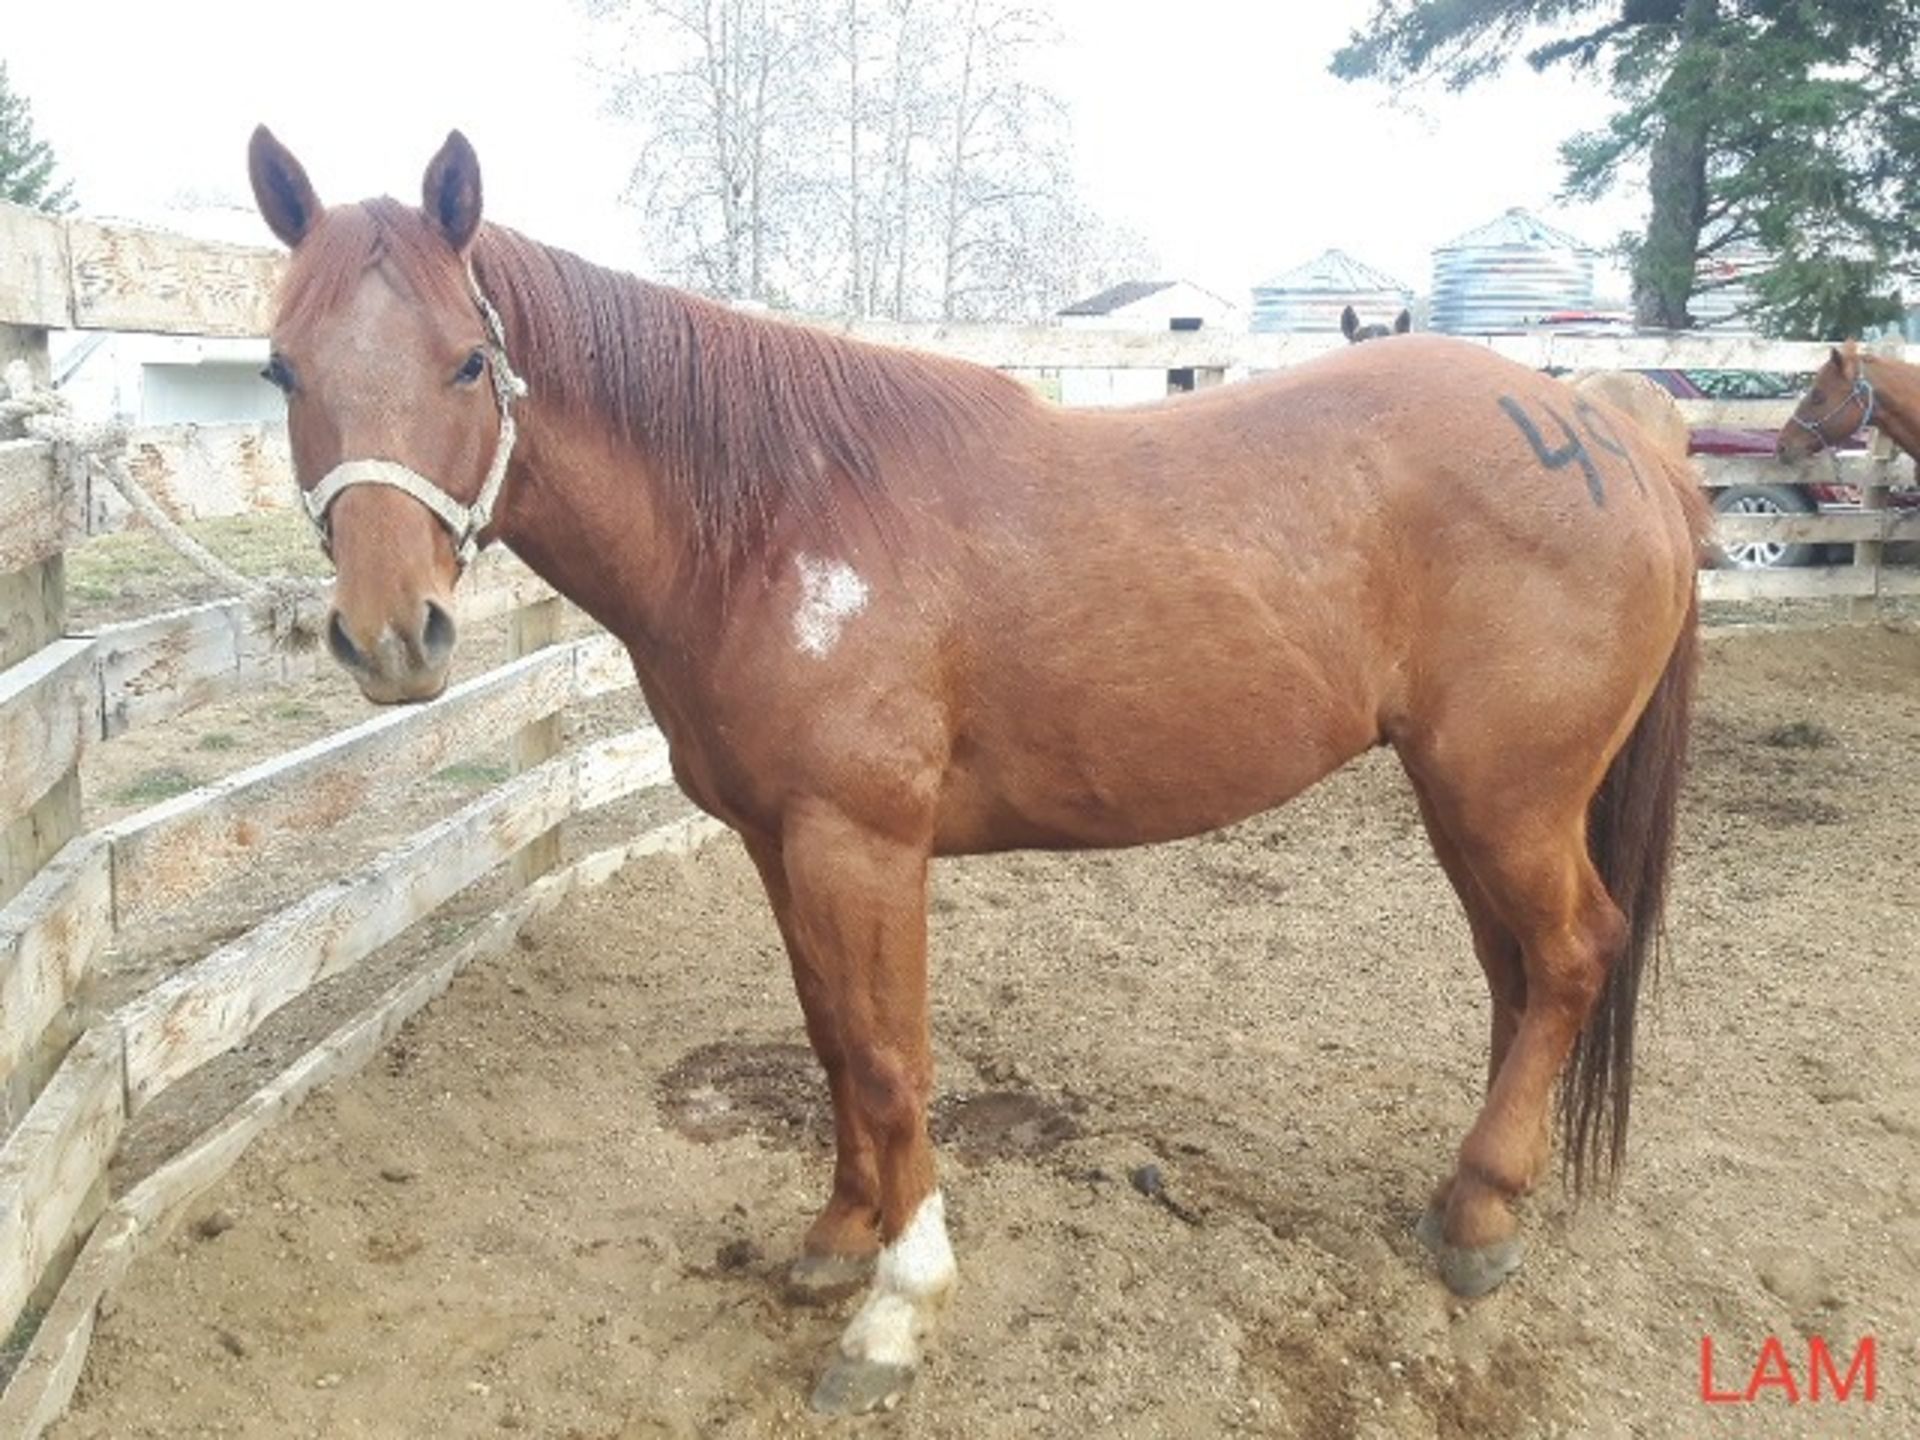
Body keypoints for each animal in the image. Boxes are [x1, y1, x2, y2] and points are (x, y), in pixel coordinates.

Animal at [247, 129, 1704, 1413]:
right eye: (279, 369)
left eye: (467, 361)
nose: (392, 635)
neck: (777, 519)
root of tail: (1609, 434)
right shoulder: (779, 843)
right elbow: (832, 1038)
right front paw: (840, 1235)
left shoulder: (861, 843)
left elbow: (892, 1059)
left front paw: (899, 1310)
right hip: (1477, 802)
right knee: (1520, 973)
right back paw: (1473, 1196)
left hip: (1505, 795)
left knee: (1572, 953)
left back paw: (1481, 1214)